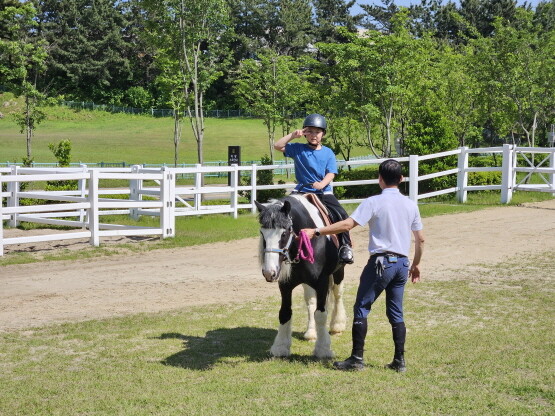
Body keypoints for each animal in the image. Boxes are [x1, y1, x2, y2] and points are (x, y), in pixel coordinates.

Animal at [256, 195, 348, 358]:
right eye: (262, 233)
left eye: (284, 233)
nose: (269, 272)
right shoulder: (285, 285)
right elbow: (285, 313)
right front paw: (280, 347)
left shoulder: (322, 282)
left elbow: (321, 314)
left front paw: (323, 349)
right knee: (310, 302)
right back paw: (311, 333)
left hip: (338, 272)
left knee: (337, 295)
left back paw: (337, 326)